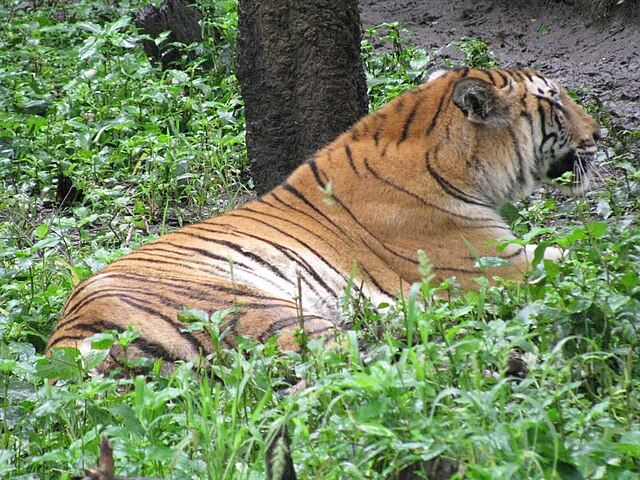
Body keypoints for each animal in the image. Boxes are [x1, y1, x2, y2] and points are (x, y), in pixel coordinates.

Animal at [46, 67, 600, 374]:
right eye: (555, 102)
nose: (599, 133)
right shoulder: (495, 264)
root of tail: (65, 347)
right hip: (267, 310)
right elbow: (579, 257)